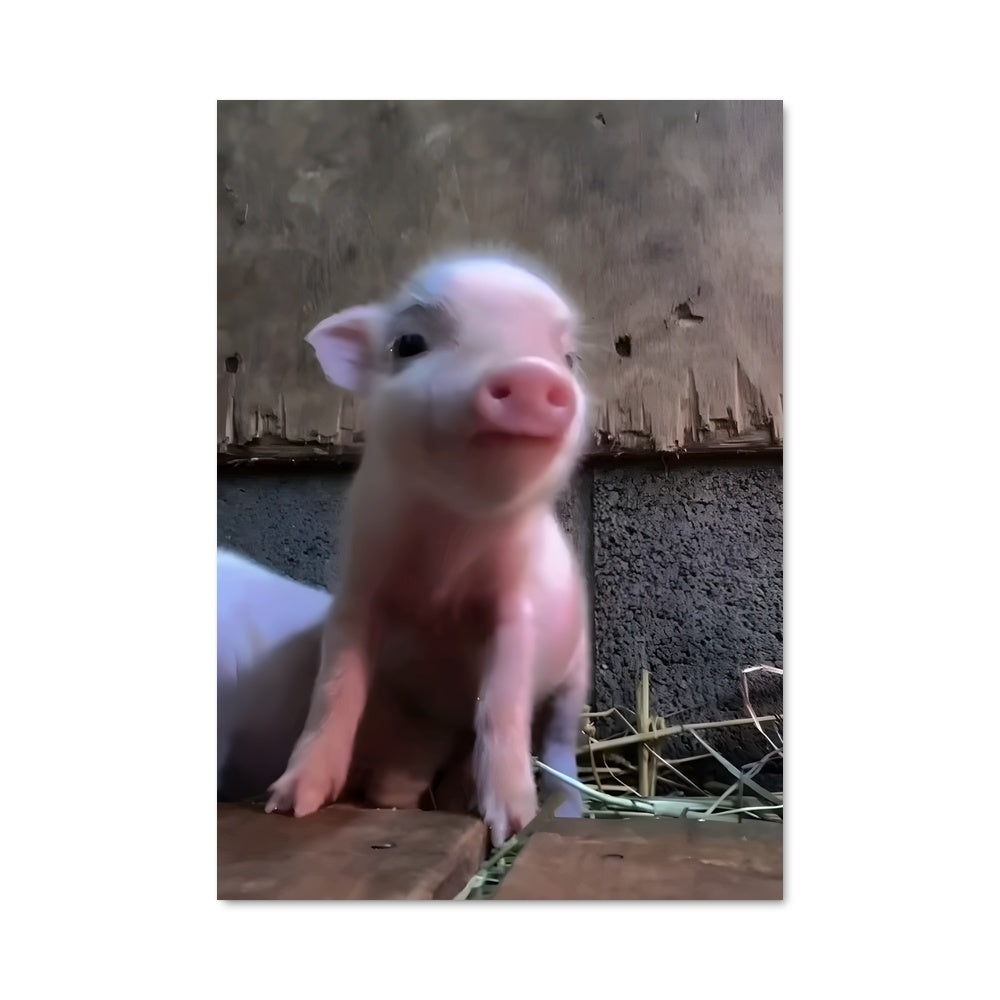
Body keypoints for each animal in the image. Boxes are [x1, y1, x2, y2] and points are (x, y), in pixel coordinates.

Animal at [265, 251, 593, 846]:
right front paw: (288, 805)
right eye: (408, 343)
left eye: (569, 358)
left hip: (577, 670)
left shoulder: (517, 610)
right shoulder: (358, 591)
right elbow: (335, 689)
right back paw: (400, 799)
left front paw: (512, 824)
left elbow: (502, 704)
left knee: (558, 743)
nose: (532, 375)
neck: (446, 553)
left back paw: (564, 812)